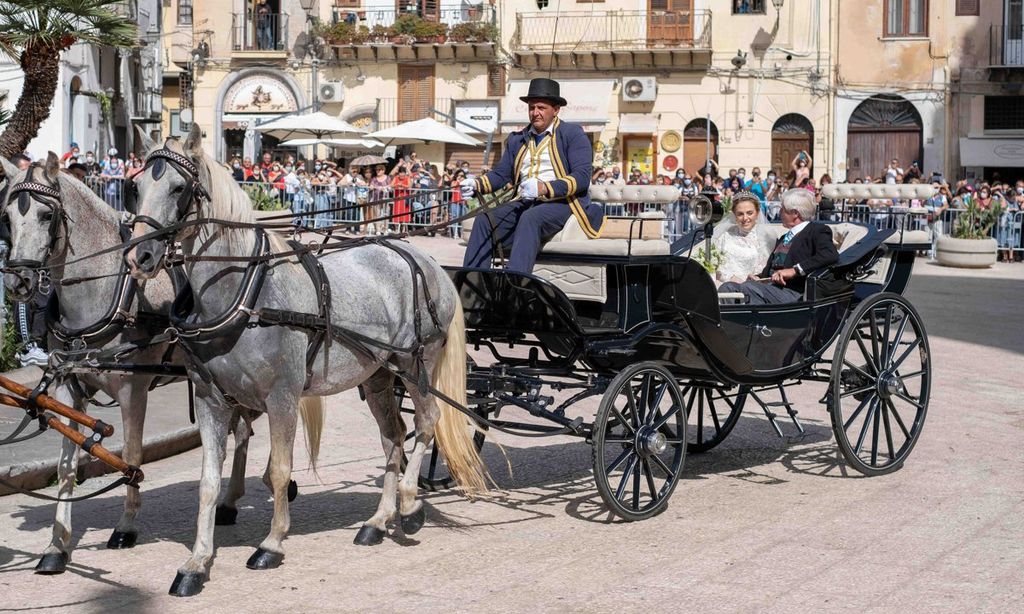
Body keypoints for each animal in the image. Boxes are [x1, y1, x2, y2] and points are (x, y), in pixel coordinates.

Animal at [124, 125, 491, 597]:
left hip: (417, 365)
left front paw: (272, 543)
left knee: (427, 424)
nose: (139, 257)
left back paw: (410, 506)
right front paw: (197, 562)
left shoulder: (282, 397)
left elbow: (280, 471)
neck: (244, 291)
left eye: (178, 187)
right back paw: (378, 521)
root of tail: (425, 259)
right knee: (394, 437)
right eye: (136, 188)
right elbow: (208, 484)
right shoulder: (211, 400)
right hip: (377, 376)